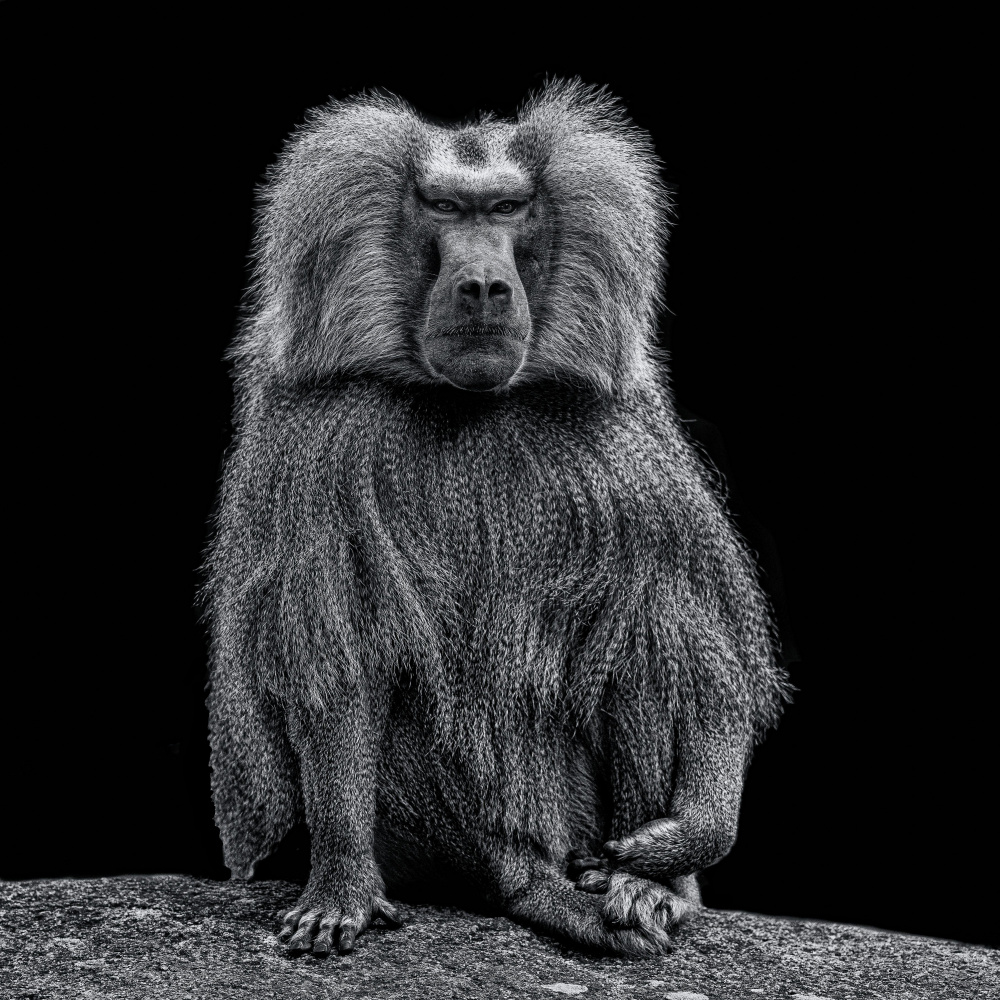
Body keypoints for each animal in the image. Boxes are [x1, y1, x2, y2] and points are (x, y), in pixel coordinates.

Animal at [202, 79, 790, 959]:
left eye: (508, 208)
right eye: (445, 207)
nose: (483, 287)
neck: (468, 403)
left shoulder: (624, 438)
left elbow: (688, 632)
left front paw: (690, 837)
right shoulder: (320, 438)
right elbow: (342, 653)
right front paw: (339, 885)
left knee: (638, 641)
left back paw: (646, 890)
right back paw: (530, 886)